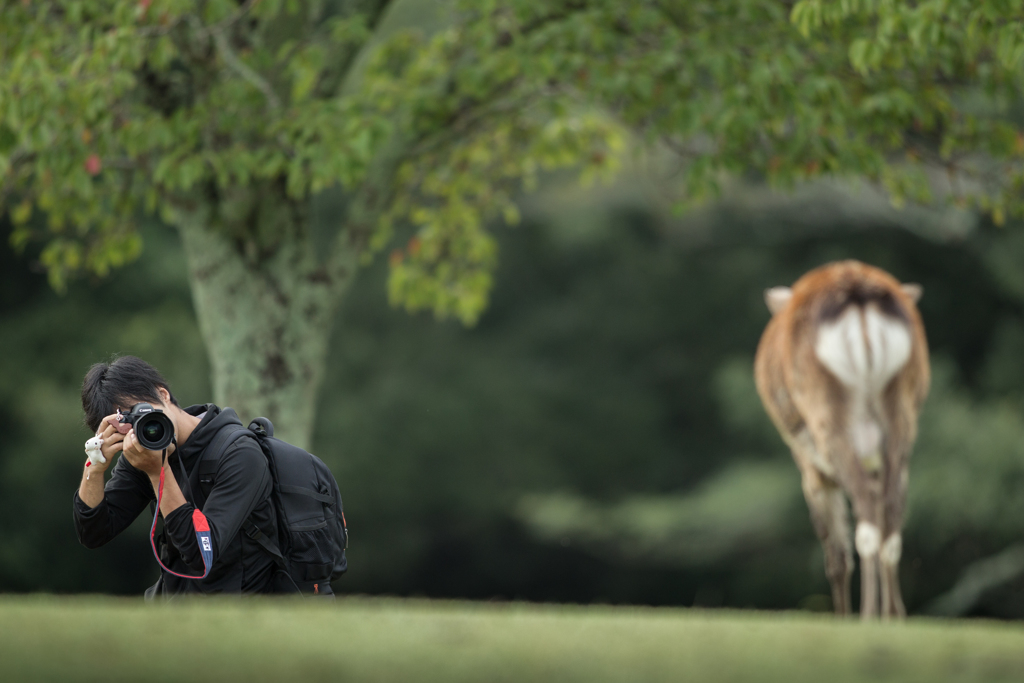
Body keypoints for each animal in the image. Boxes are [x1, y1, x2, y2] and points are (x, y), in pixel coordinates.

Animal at [753, 262, 929, 618]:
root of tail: (857, 293)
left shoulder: (808, 464)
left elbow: (834, 554)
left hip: (827, 417)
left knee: (864, 515)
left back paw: (866, 617)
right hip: (900, 416)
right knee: (890, 514)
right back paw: (892, 617)